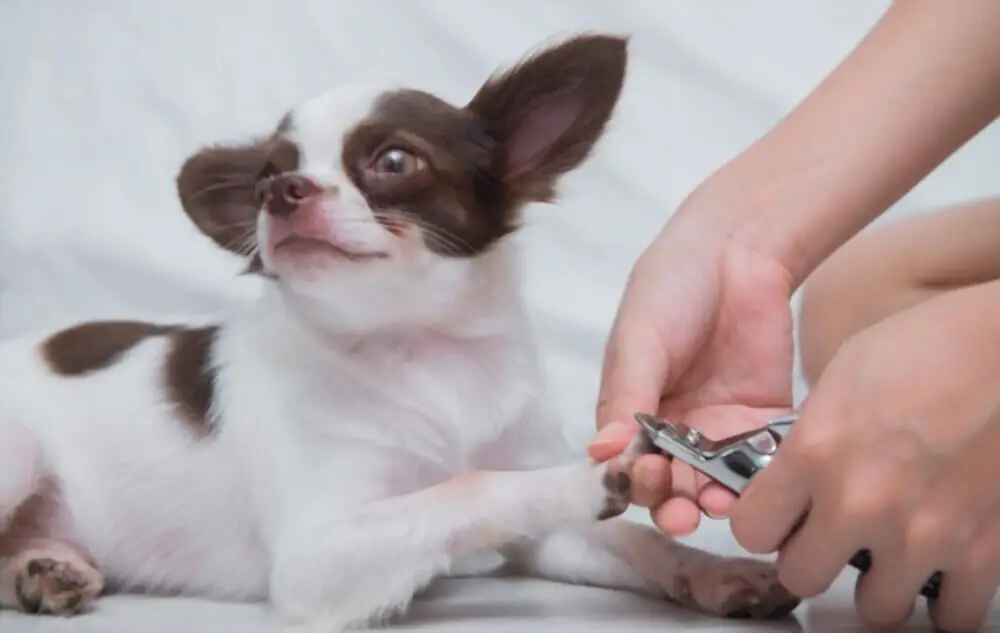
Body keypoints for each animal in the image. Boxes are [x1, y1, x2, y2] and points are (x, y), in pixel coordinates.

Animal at [0, 33, 800, 628]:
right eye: (266, 175)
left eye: (393, 161)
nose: (278, 192)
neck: (424, 349)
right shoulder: (316, 556)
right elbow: (466, 488)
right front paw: (582, 475)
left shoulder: (543, 541)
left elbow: (633, 539)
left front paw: (716, 571)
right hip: (18, 451)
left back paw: (45, 568)